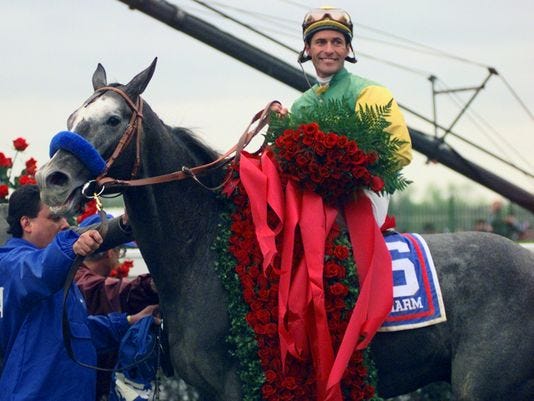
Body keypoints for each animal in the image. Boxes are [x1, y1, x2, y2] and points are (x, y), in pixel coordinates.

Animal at [36, 60, 534, 401]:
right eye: (71, 119)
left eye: (113, 119)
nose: (52, 180)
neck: (201, 252)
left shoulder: (243, 385)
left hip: (486, 386)